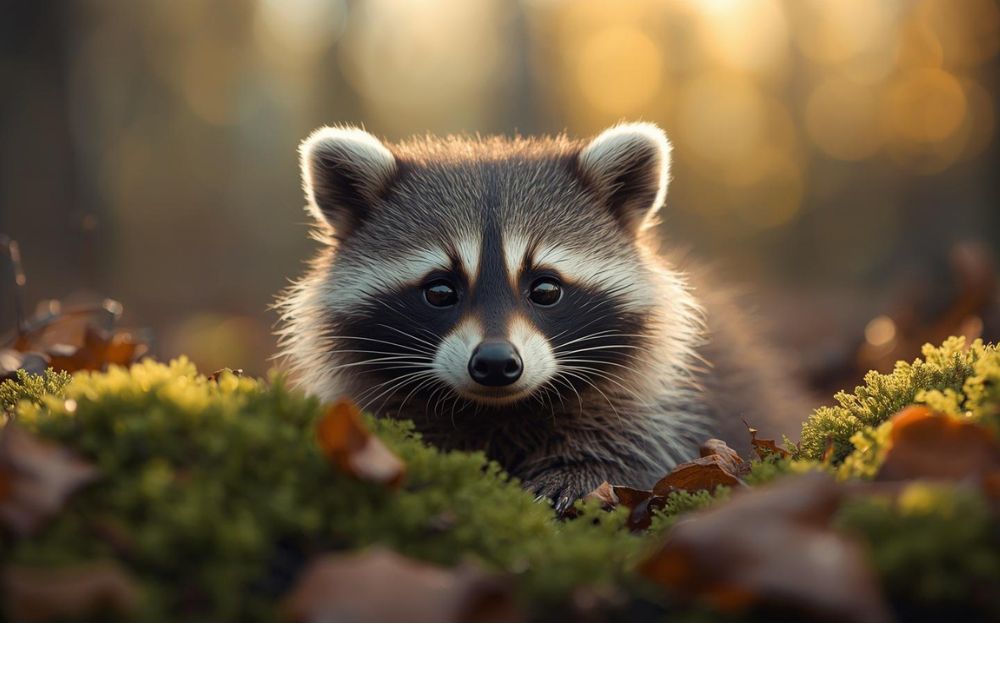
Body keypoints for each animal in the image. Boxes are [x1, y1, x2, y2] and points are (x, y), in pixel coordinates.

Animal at [277, 122, 805, 511]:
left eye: (546, 288)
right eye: (440, 290)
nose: (495, 364)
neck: (497, 411)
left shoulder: (664, 400)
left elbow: (633, 442)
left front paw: (577, 474)